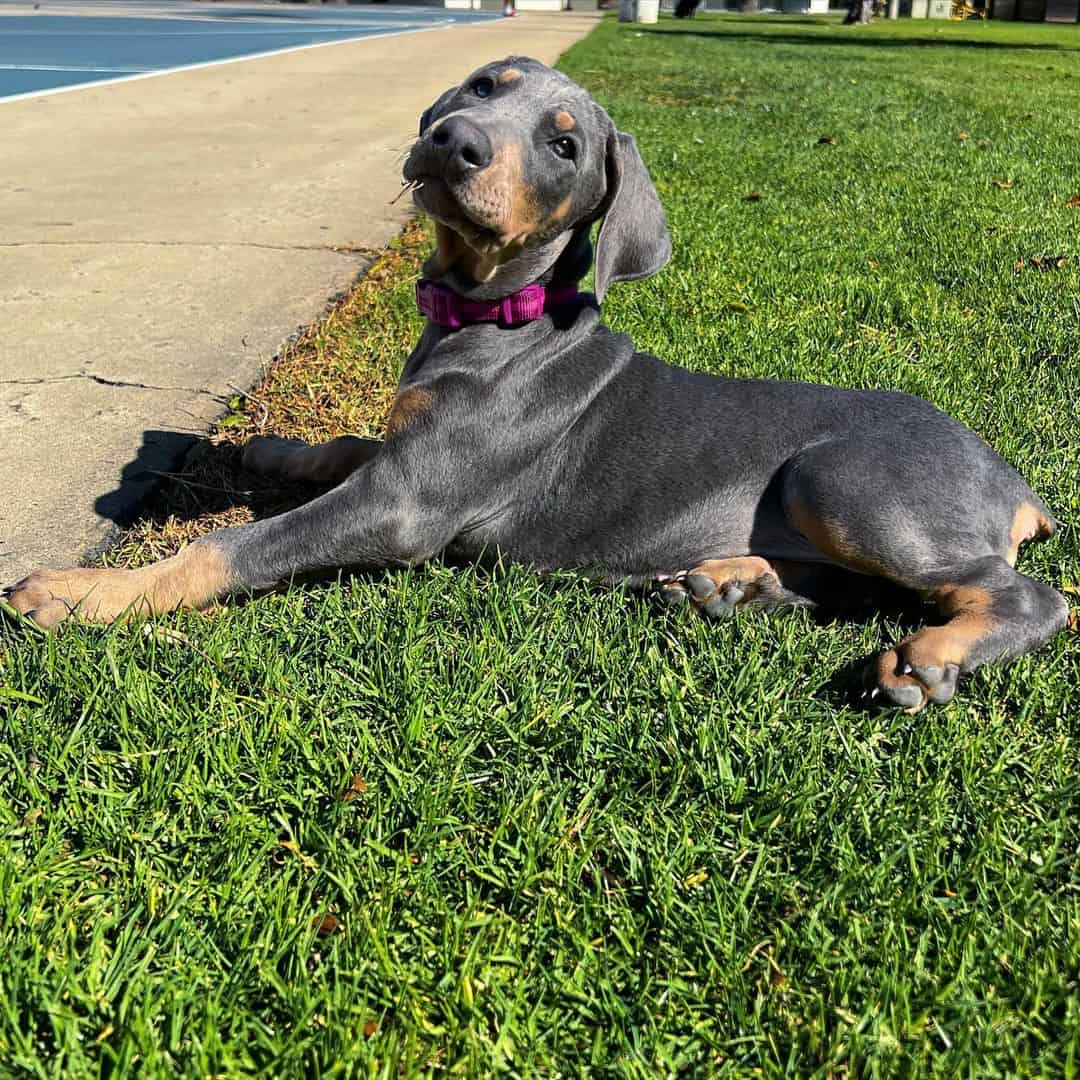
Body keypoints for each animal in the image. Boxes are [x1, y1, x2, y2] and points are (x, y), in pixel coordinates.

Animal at [6, 56, 1071, 708]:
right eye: (484, 84)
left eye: (563, 146)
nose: (456, 141)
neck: (492, 316)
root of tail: (1015, 481)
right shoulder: (402, 453)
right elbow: (348, 440)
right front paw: (271, 449)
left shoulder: (406, 505)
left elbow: (230, 544)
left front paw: (84, 593)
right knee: (856, 592)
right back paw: (729, 585)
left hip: (842, 479)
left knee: (1020, 596)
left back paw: (928, 663)